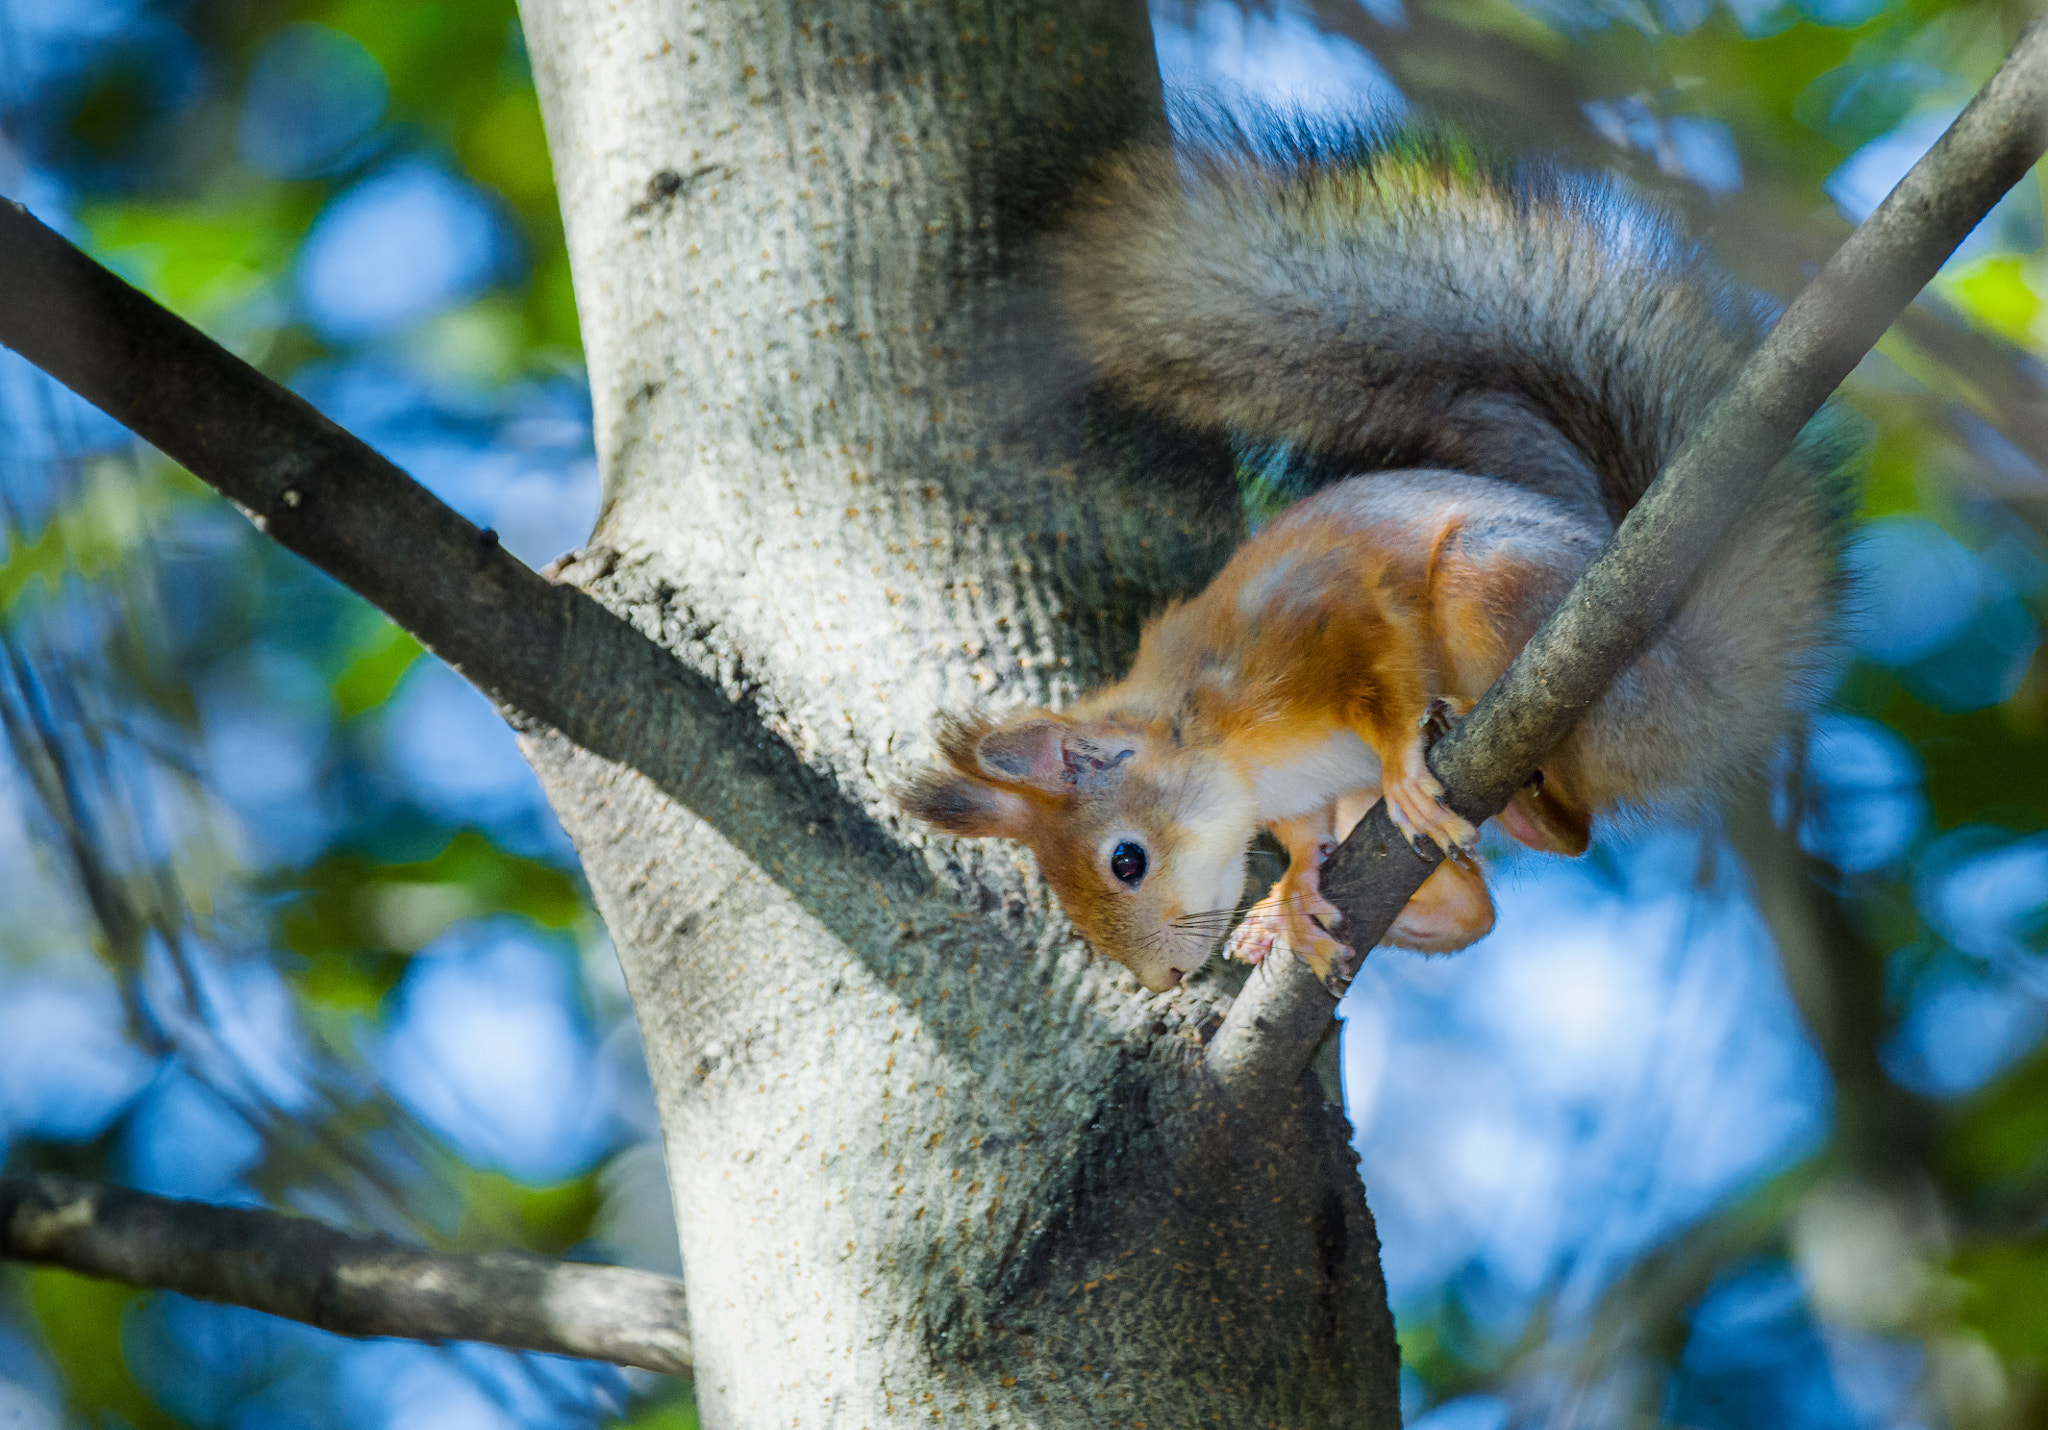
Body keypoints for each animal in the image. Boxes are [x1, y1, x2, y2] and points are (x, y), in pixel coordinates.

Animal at [905, 119, 1851, 991]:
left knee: (1573, 821)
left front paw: (1400, 757)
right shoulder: (1300, 794)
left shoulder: (1323, 619)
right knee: (1482, 911)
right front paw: (1293, 889)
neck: (1223, 741)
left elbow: (1382, 674)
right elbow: (1304, 837)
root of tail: (1697, 680)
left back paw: (1498, 768)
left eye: (1125, 860)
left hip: (1512, 598)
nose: (1164, 981)